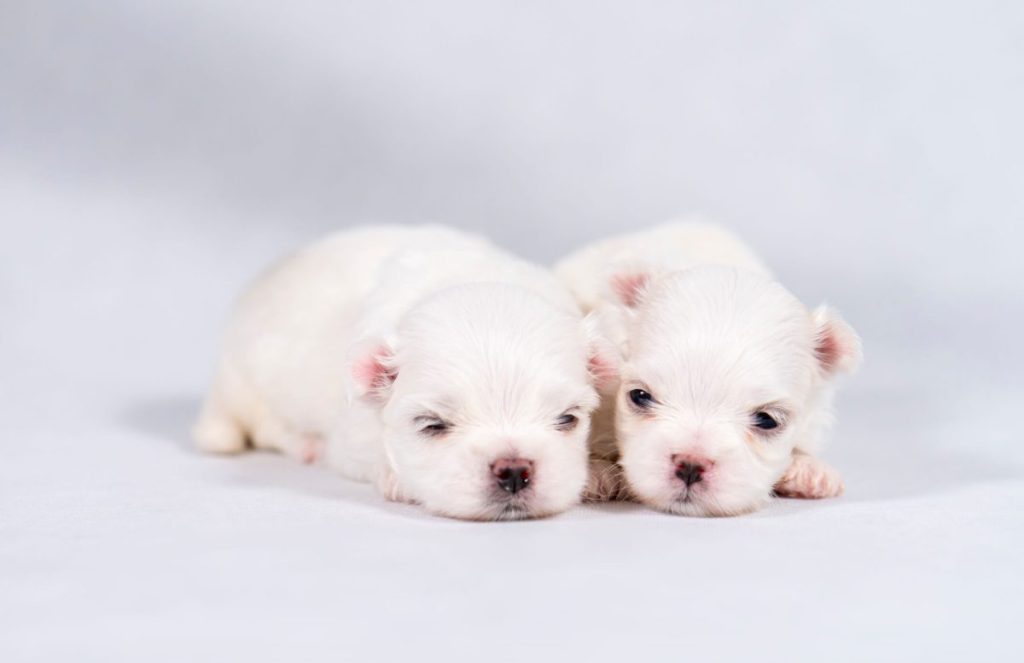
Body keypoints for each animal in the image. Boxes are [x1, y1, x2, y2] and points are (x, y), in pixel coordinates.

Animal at [194, 225, 610, 520]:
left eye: (567, 419)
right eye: (432, 425)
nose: (514, 470)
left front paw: (597, 473)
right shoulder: (350, 438)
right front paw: (397, 479)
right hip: (249, 382)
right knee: (267, 425)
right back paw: (304, 443)